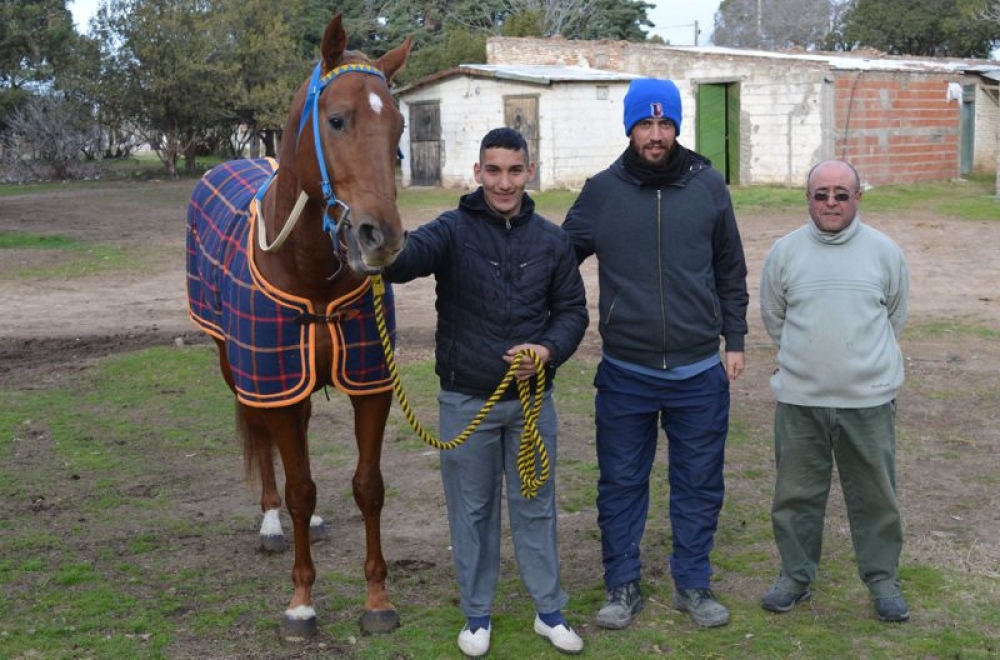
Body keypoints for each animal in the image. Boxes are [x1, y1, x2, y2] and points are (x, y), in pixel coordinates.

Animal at [186, 12, 408, 636]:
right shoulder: (275, 383)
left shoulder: (369, 384)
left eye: (399, 125)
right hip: (239, 369)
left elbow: (368, 487)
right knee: (264, 443)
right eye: (336, 120)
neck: (310, 271)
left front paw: (377, 600)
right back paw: (271, 520)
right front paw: (302, 603)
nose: (381, 237)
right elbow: (300, 486)